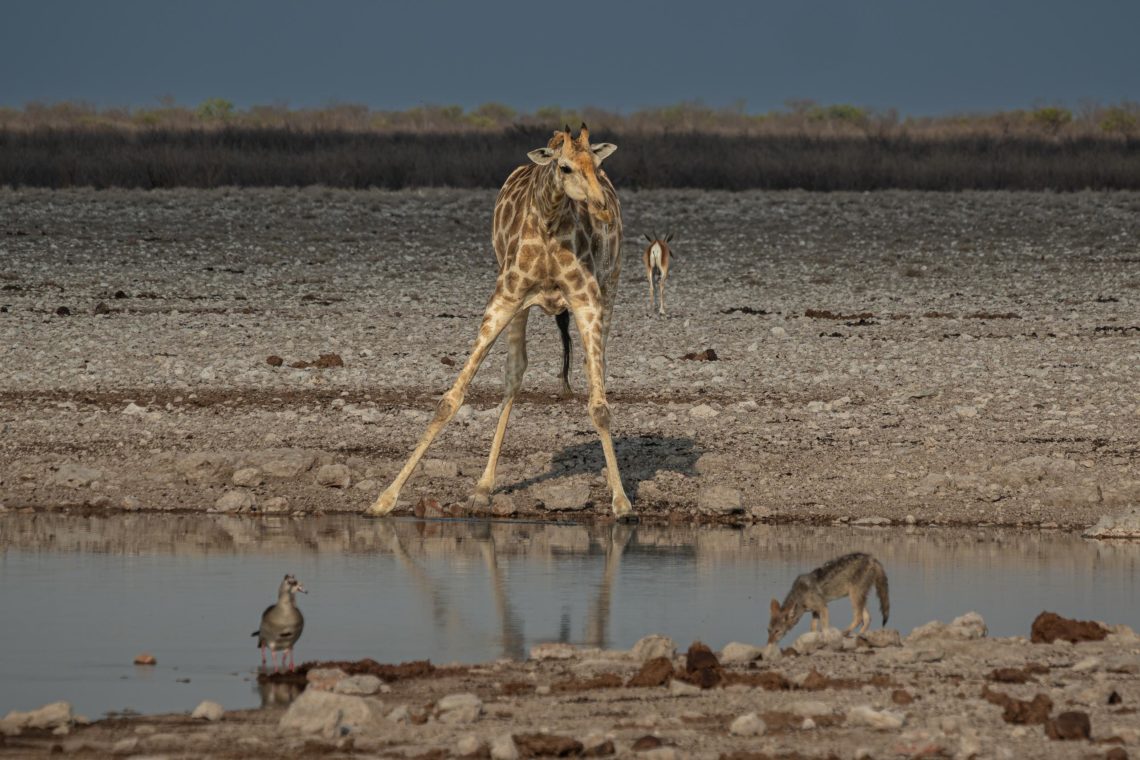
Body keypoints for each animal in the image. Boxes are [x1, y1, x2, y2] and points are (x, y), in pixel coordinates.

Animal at [367, 124, 633, 517]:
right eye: (565, 167)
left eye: (597, 166)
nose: (602, 210)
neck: (550, 219)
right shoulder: (504, 299)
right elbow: (450, 399)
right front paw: (385, 497)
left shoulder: (587, 300)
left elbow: (600, 407)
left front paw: (621, 498)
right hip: (520, 305)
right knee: (515, 373)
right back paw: (483, 485)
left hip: (610, 285)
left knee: (593, 369)